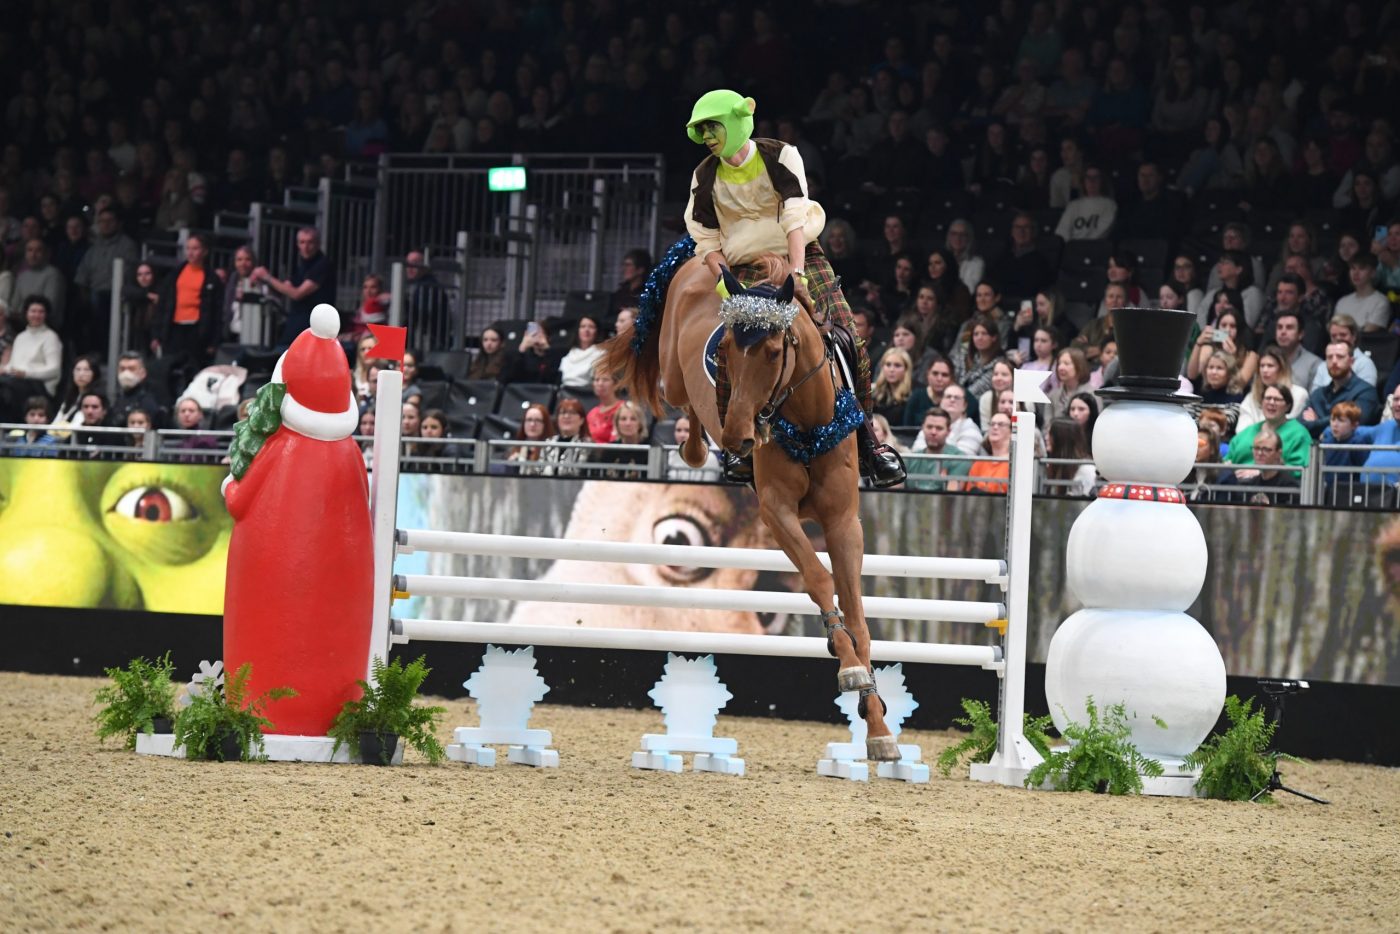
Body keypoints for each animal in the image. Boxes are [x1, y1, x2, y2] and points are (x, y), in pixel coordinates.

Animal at [599, 248, 898, 761]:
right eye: (724, 353)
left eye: (775, 352)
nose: (740, 435)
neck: (809, 425)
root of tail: (693, 257)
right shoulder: (777, 513)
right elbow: (819, 579)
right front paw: (850, 670)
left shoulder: (843, 520)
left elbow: (857, 613)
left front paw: (877, 725)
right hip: (675, 378)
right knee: (683, 405)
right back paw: (699, 451)